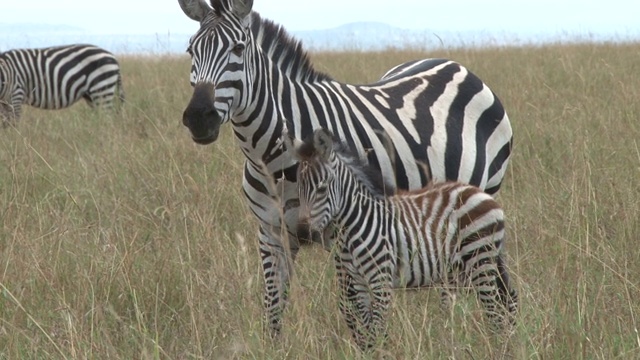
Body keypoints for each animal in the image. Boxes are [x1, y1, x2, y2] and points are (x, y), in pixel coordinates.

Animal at [288, 128, 516, 350]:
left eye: (322, 188)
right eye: (298, 187)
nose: (302, 233)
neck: (354, 224)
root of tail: (479, 193)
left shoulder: (380, 279)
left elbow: (377, 329)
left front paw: (383, 352)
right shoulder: (357, 281)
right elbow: (367, 331)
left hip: (480, 260)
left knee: (495, 311)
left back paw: (497, 348)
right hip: (460, 268)